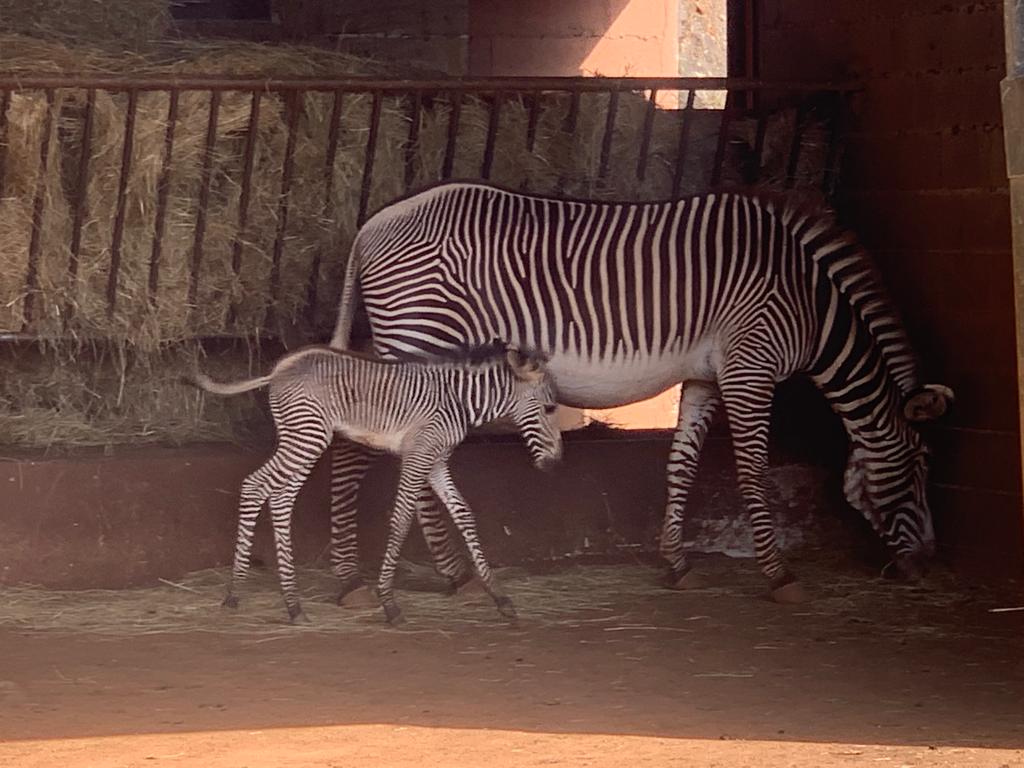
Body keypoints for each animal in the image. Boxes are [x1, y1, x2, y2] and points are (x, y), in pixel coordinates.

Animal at [186, 342, 562, 624]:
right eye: (549, 408)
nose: (556, 464)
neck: (459, 401)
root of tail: (281, 368)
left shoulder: (437, 461)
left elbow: (464, 513)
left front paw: (500, 598)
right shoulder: (418, 455)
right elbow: (401, 519)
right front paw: (389, 602)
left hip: (303, 439)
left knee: (279, 497)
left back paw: (291, 604)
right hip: (307, 436)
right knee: (255, 486)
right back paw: (237, 594)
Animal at [326, 181, 954, 605]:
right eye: (921, 465)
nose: (926, 564)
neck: (811, 302)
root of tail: (369, 226)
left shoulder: (706, 374)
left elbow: (682, 462)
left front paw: (676, 563)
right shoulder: (749, 366)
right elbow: (752, 470)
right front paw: (779, 575)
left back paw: (451, 574)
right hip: (416, 340)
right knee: (355, 450)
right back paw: (356, 580)